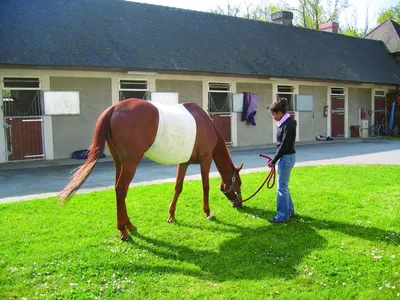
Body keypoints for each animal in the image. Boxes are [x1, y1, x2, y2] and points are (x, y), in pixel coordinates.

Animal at [59, 98, 244, 241]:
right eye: (239, 183)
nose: (240, 203)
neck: (206, 125)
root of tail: (115, 108)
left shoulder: (183, 162)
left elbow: (178, 187)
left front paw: (171, 216)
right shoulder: (205, 160)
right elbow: (205, 186)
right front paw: (208, 212)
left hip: (119, 162)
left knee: (118, 190)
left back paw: (129, 225)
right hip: (130, 163)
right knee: (121, 189)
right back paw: (124, 231)